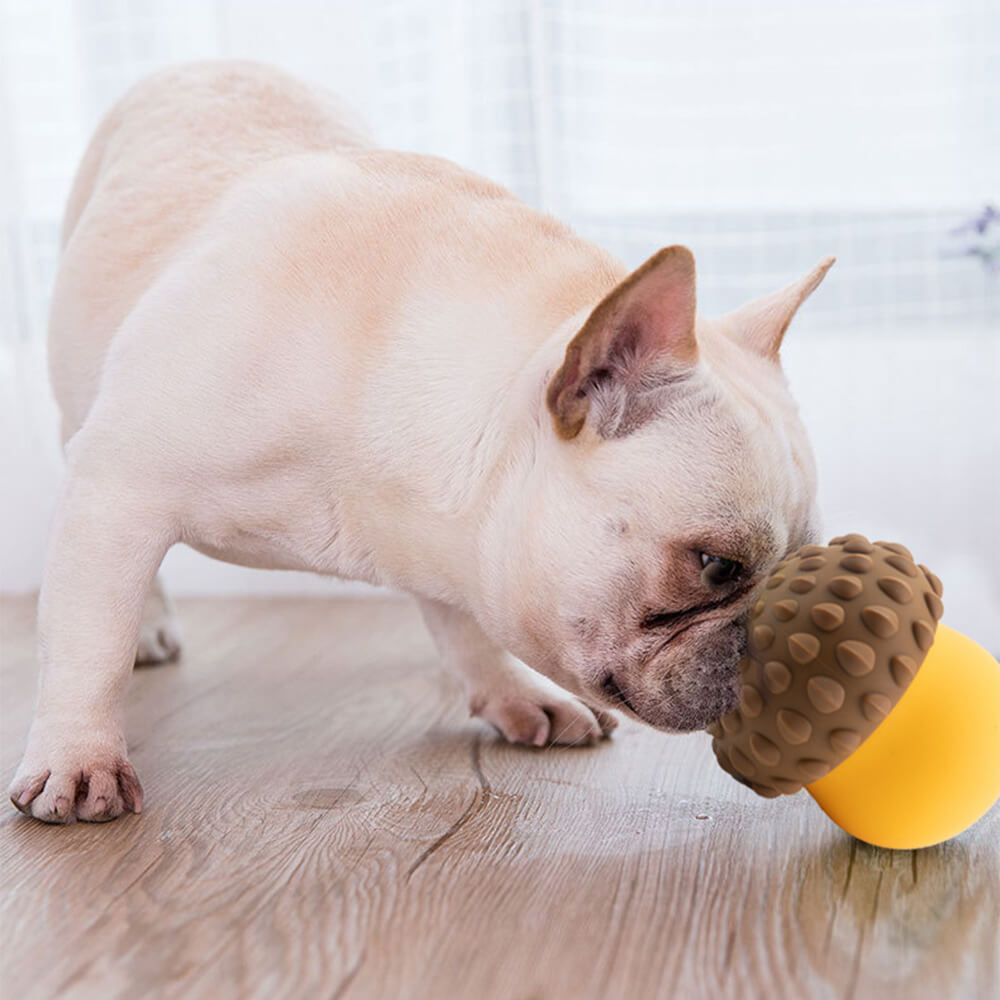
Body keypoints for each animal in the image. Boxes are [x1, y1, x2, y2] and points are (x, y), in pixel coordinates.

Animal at [11, 64, 832, 828]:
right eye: (715, 565)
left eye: (802, 561)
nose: (784, 642)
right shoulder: (119, 486)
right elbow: (90, 642)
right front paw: (79, 759)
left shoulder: (448, 530)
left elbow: (463, 622)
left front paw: (512, 692)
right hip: (81, 417)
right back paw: (147, 627)